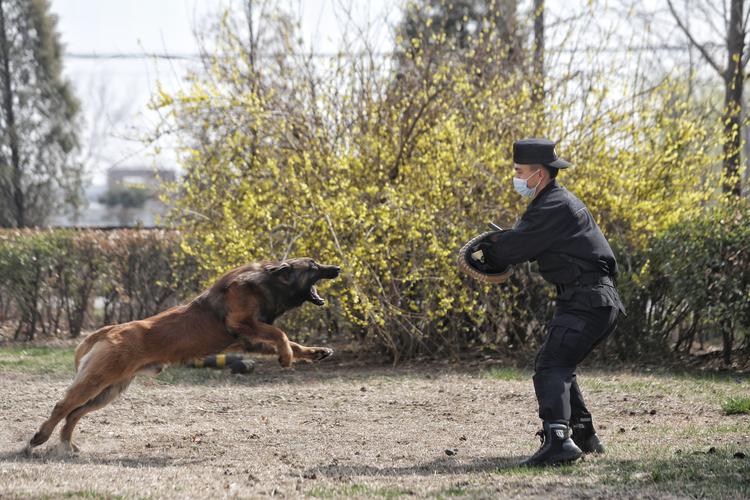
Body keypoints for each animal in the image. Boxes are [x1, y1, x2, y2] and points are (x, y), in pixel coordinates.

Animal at [24, 256, 340, 456]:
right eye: (313, 266)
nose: (337, 267)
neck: (266, 281)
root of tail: (110, 329)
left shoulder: (250, 339)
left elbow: (290, 341)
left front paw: (315, 352)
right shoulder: (242, 324)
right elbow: (281, 334)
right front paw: (286, 358)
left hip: (109, 391)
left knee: (73, 414)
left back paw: (66, 445)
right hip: (96, 382)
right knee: (62, 407)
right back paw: (39, 438)